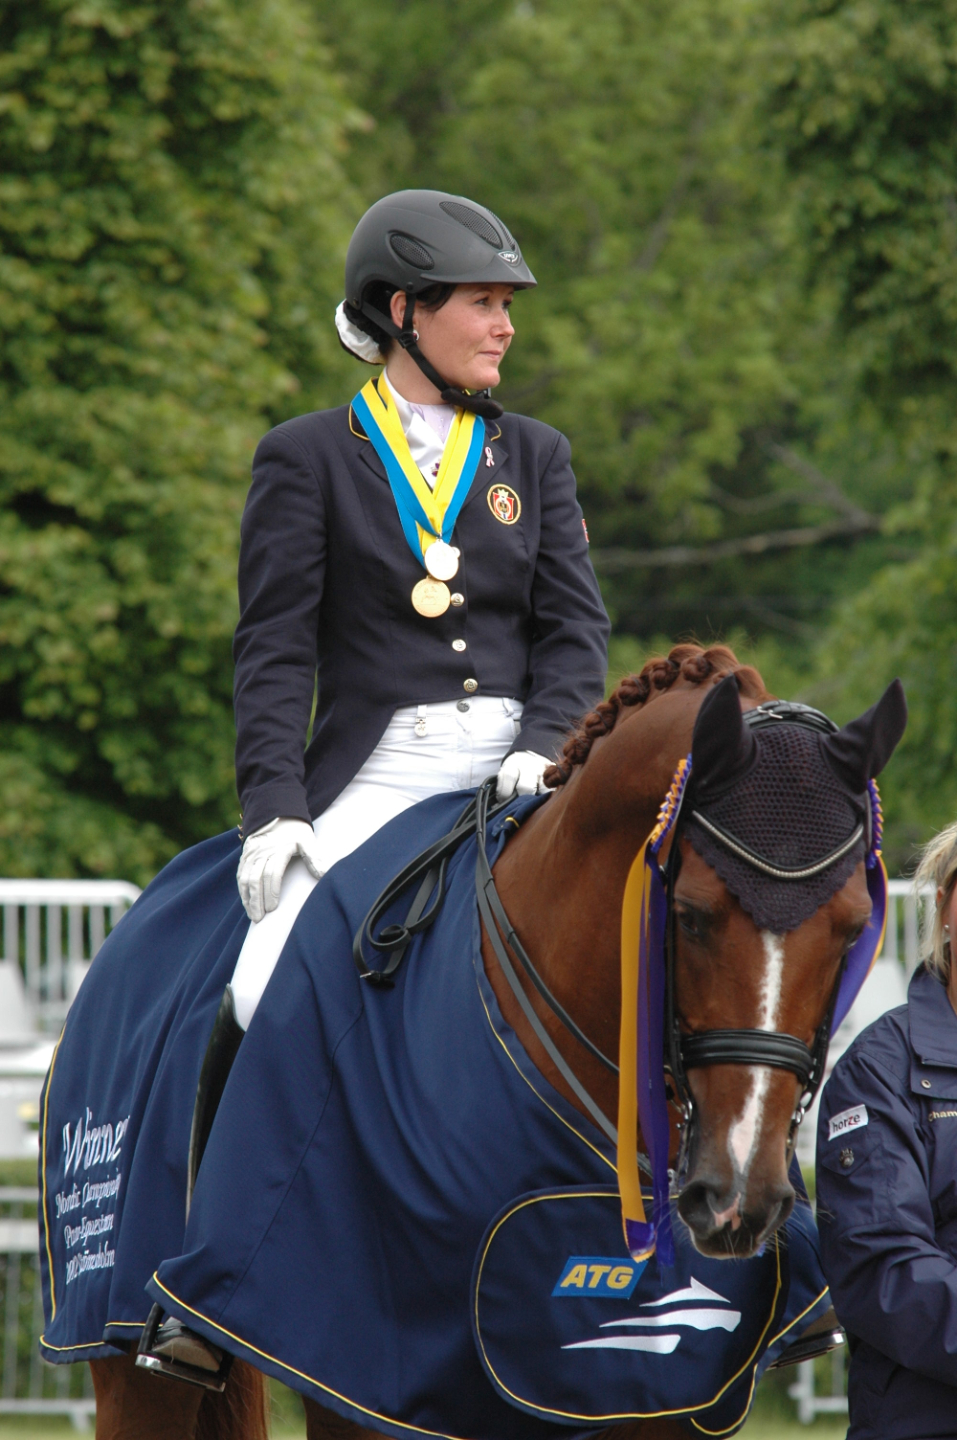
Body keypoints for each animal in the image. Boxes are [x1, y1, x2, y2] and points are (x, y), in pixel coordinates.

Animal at [43, 643, 905, 1440]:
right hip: (140, 1364)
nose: (736, 1201)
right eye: (690, 916)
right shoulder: (367, 1367)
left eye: (853, 928)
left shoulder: (644, 1396)